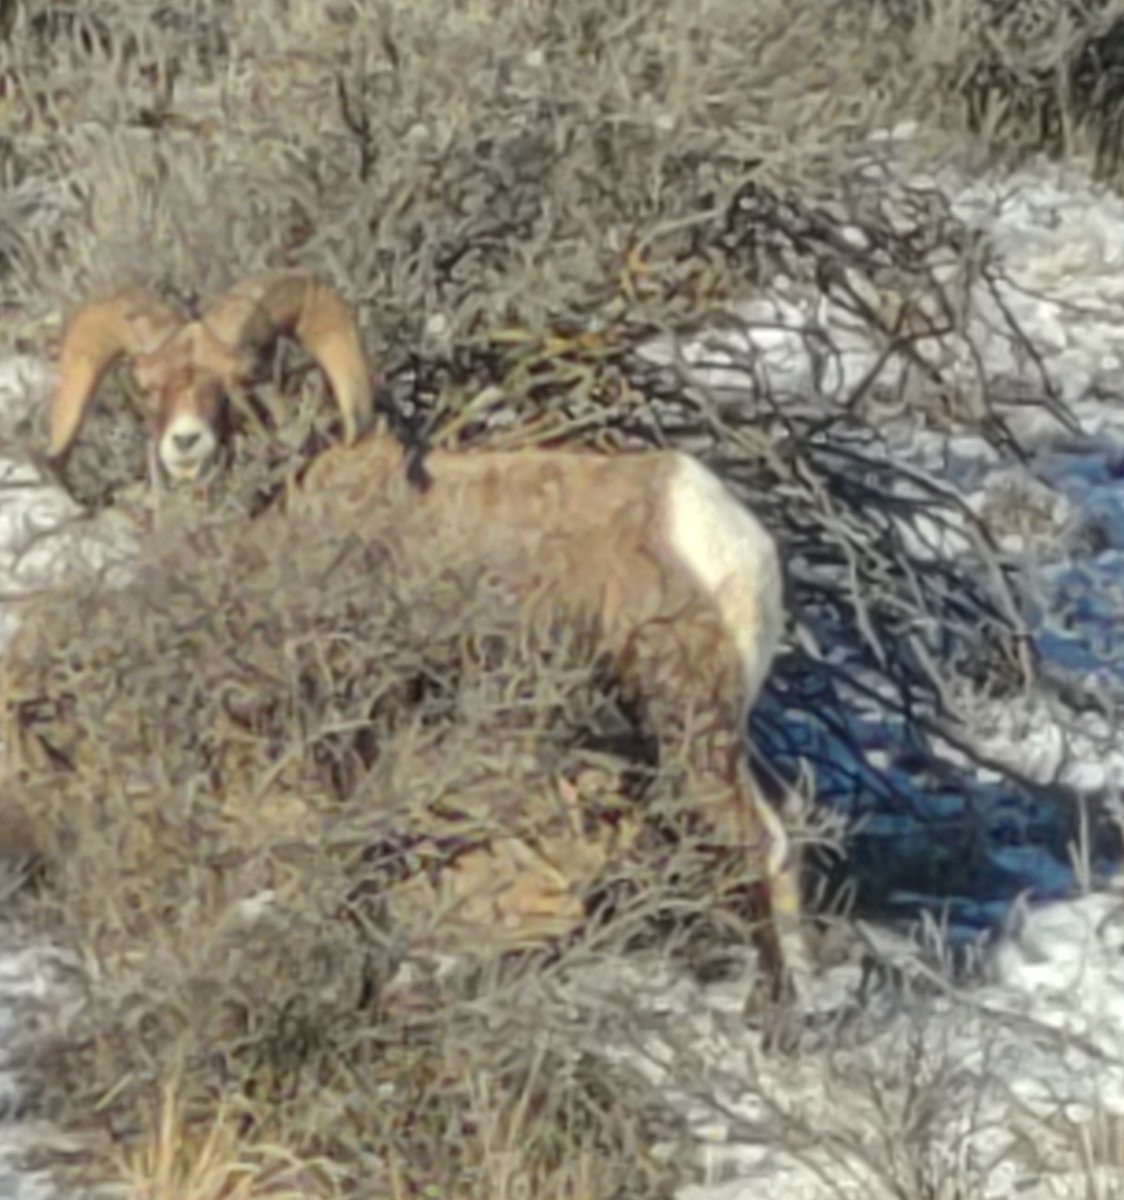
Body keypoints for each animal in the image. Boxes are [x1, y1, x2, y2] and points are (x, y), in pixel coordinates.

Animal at [43, 269, 811, 1024]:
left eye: (239, 380)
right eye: (146, 384)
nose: (186, 446)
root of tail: (733, 538)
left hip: (690, 718)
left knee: (754, 839)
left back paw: (769, 1017)